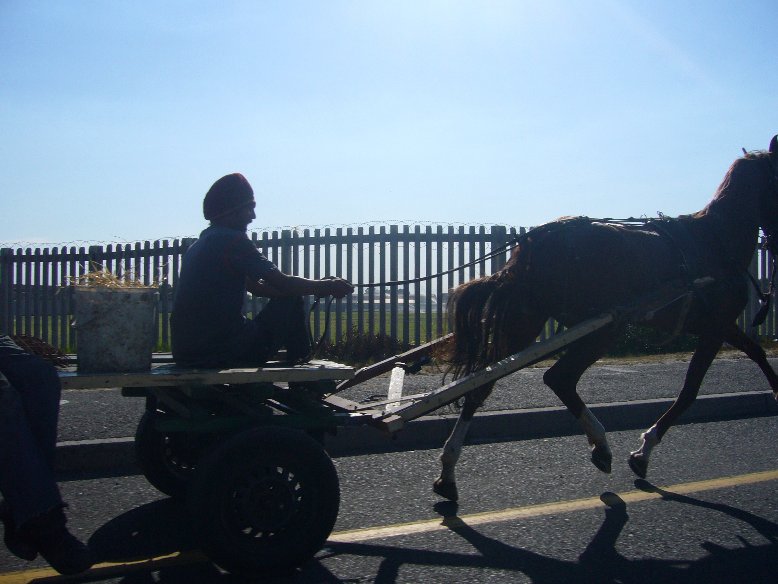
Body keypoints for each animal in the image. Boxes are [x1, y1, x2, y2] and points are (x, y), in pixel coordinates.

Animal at [434, 136, 776, 502]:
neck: (714, 241)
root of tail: (533, 242)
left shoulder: (720, 326)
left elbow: (755, 352)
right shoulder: (714, 328)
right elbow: (689, 392)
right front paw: (643, 453)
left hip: (527, 322)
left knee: (483, 385)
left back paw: (448, 471)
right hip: (604, 326)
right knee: (559, 378)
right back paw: (600, 445)